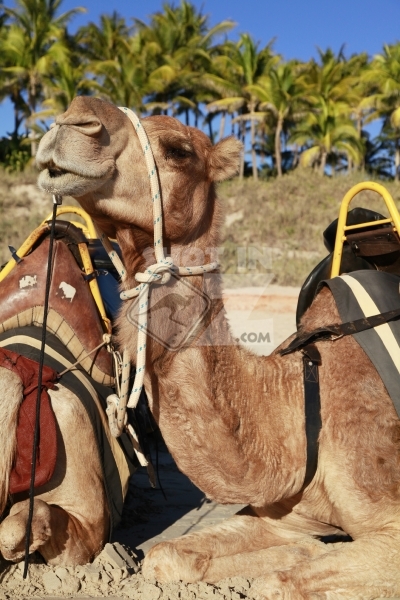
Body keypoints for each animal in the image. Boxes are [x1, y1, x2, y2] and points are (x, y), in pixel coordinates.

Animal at [35, 96, 400, 596]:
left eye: (179, 150)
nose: (73, 120)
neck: (299, 405)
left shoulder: (389, 522)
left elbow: (275, 584)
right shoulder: (285, 513)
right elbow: (166, 556)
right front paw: (302, 550)